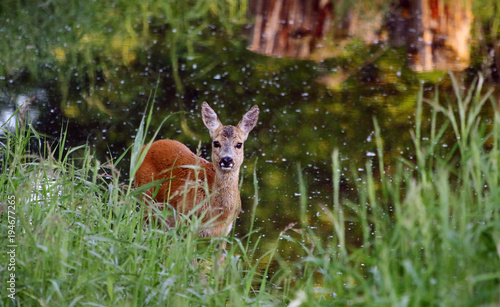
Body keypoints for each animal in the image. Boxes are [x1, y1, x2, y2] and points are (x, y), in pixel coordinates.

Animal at [135, 103, 260, 243]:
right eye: (216, 143)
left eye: (239, 144)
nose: (227, 160)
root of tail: (145, 147)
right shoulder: (185, 222)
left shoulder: (224, 233)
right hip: (144, 198)